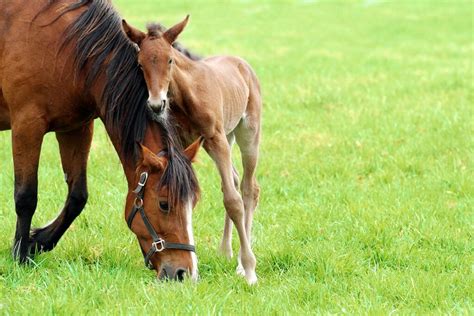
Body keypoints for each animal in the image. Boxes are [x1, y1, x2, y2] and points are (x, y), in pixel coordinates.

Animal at [0, 0, 202, 282]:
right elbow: (26, 196)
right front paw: (20, 255)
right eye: (164, 204)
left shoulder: (77, 128)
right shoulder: (27, 125)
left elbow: (77, 196)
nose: (185, 273)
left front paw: (37, 241)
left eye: (193, 203)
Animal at [122, 16, 262, 286]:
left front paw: (250, 270)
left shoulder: (216, 138)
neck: (187, 93)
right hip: (223, 139)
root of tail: (243, 64)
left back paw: (242, 263)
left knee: (249, 188)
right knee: (235, 180)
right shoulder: (186, 143)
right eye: (140, 63)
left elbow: (233, 201)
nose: (156, 104)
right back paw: (225, 251)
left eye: (170, 60)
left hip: (247, 133)